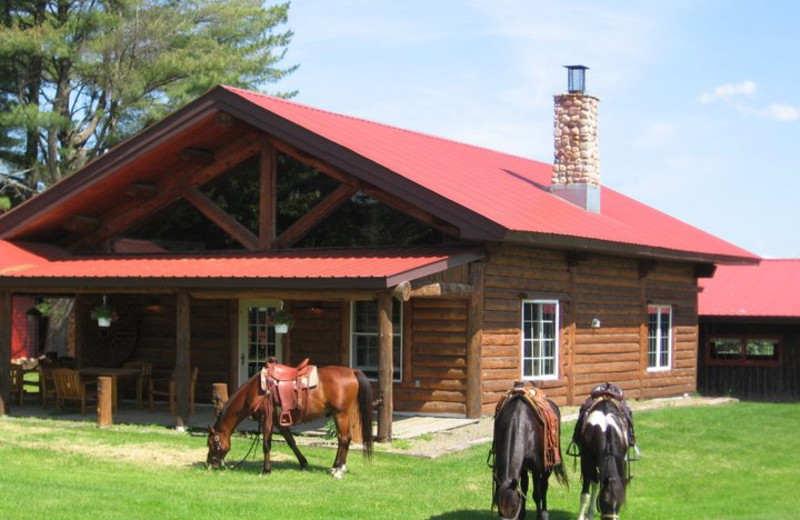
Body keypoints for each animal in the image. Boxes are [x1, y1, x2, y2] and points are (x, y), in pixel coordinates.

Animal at [203, 364, 372, 478]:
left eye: (212, 443)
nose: (209, 464)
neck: (255, 391)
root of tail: (352, 371)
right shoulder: (278, 421)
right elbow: (291, 441)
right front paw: (303, 464)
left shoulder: (267, 419)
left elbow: (266, 445)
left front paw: (266, 470)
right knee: (341, 440)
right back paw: (334, 467)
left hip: (340, 414)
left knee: (345, 439)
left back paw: (339, 471)